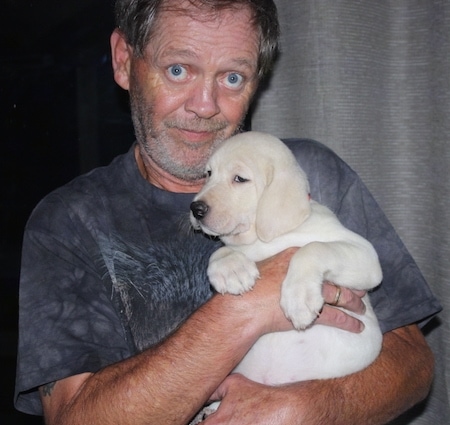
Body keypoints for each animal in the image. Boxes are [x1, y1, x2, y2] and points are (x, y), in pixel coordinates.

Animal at [190, 131, 384, 386]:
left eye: (240, 179)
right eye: (209, 174)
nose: (195, 209)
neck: (262, 238)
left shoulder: (365, 254)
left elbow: (312, 248)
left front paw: (299, 298)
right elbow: (220, 250)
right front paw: (231, 269)